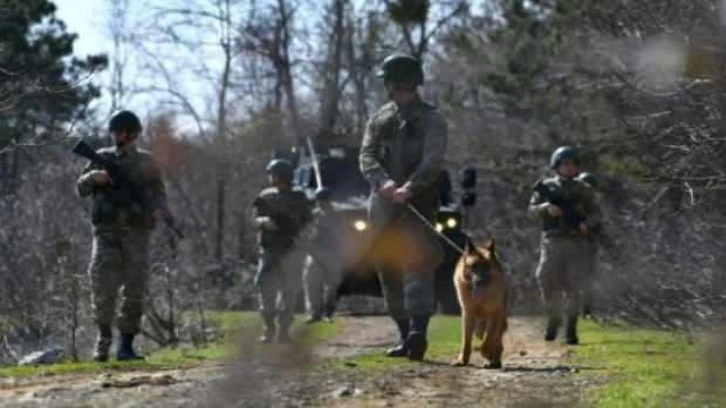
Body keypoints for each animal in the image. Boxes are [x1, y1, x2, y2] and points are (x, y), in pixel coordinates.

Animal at [452, 237, 510, 368]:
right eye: (473, 266)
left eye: (487, 266)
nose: (480, 281)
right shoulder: (468, 315)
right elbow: (466, 341)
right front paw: (462, 360)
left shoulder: (494, 315)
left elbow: (488, 341)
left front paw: (488, 354)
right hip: (479, 327)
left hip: (498, 321)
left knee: (497, 341)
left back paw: (494, 360)